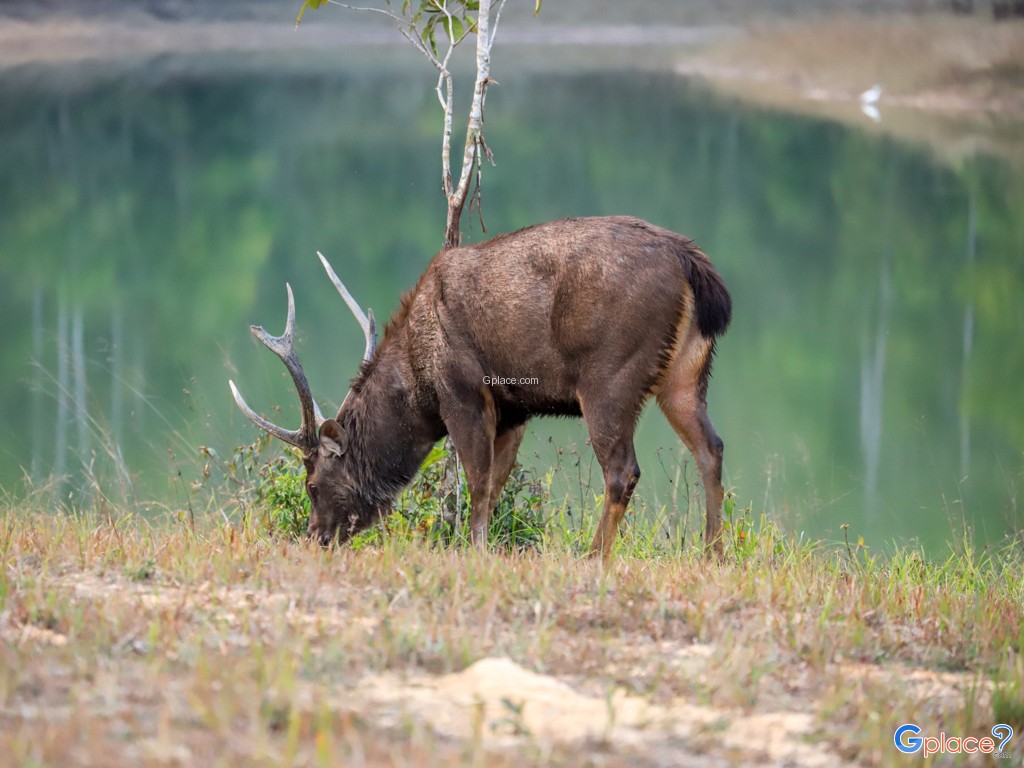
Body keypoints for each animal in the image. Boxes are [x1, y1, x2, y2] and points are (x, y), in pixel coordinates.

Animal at [229, 217, 733, 561]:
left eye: (313, 484)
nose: (316, 537)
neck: (417, 384)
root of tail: (696, 268)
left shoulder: (462, 393)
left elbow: (477, 481)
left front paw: (475, 552)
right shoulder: (513, 410)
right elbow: (495, 485)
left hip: (610, 376)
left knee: (623, 470)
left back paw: (593, 558)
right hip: (686, 374)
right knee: (711, 446)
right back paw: (712, 553)